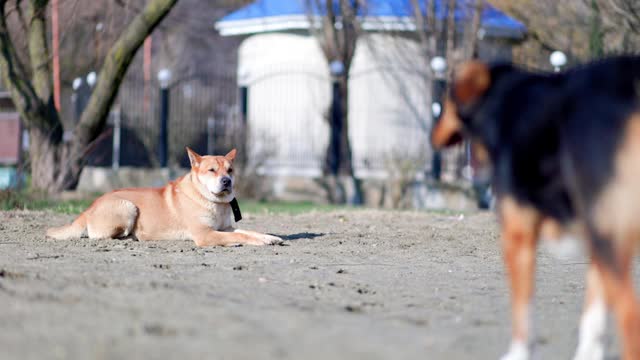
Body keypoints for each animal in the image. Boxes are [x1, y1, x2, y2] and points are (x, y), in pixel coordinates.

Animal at [47, 148, 282, 246]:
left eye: (230, 170)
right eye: (212, 170)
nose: (226, 181)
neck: (212, 202)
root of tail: (88, 208)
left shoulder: (225, 228)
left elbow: (247, 231)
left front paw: (269, 237)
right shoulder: (206, 235)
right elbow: (239, 237)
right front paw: (256, 242)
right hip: (128, 207)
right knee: (102, 237)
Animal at [432, 54, 640, 358]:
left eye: (446, 99)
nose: (431, 133)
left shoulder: (517, 233)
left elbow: (523, 309)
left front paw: (517, 353)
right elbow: (593, 318)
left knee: (629, 313)